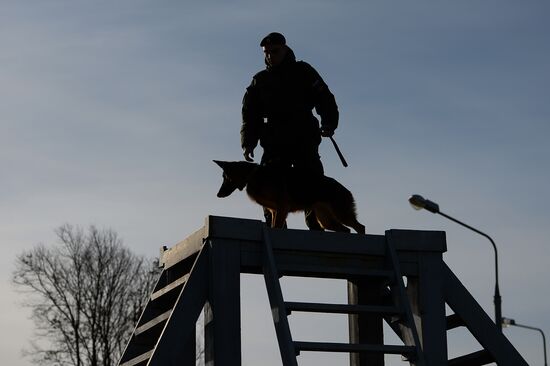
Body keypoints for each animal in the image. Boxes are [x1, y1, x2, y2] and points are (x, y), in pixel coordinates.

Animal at [216, 161, 366, 234]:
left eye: (225, 178)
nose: (217, 195)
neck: (252, 175)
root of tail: (347, 190)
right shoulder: (275, 211)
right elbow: (273, 225)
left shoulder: (282, 207)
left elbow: (276, 227)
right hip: (326, 220)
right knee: (347, 230)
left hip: (341, 214)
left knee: (360, 227)